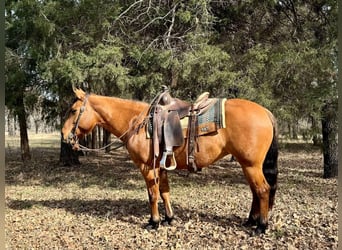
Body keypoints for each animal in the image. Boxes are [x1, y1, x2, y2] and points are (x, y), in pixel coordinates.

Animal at [61, 86, 278, 234]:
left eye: (73, 110)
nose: (64, 135)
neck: (136, 122)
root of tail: (265, 112)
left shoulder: (147, 167)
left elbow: (153, 195)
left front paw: (154, 222)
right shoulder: (162, 167)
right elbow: (165, 192)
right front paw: (169, 218)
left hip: (250, 165)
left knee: (262, 190)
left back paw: (261, 226)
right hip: (248, 165)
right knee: (255, 191)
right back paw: (251, 220)